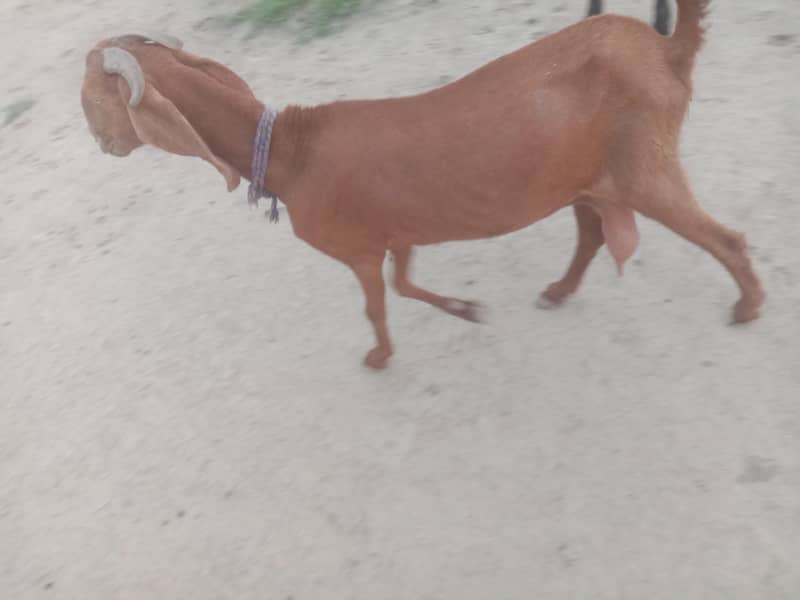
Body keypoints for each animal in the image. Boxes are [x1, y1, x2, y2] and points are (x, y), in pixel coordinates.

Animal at [80, 0, 764, 370]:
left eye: (91, 98)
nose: (100, 142)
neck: (291, 155)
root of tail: (668, 49)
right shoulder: (398, 228)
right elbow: (404, 283)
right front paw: (465, 309)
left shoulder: (357, 246)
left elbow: (378, 300)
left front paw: (380, 357)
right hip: (589, 176)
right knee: (595, 234)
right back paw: (559, 291)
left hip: (645, 164)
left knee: (725, 238)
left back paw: (748, 306)